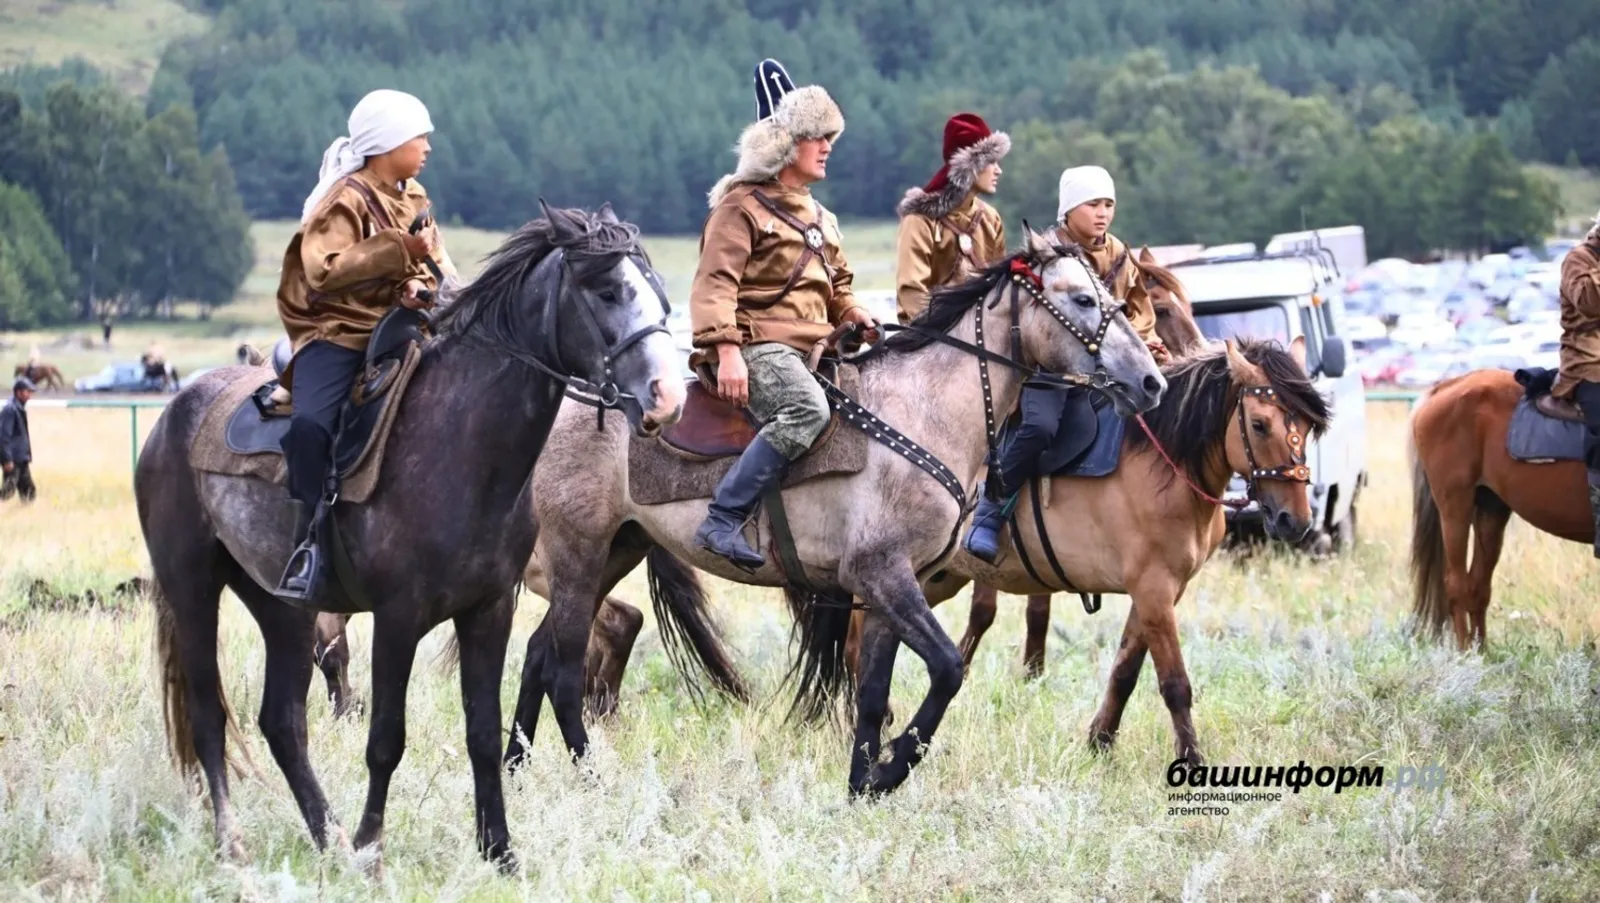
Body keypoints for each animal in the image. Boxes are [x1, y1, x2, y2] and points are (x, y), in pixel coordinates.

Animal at [134, 203, 686, 873]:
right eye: (607, 290)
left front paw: (499, 851)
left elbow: (482, 731)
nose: (668, 396)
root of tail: (172, 412)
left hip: (281, 607)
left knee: (283, 720)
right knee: (209, 714)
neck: (463, 445)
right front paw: (372, 848)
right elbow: (386, 741)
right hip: (191, 586)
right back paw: (235, 843)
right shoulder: (397, 618)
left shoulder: (488, 611)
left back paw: (327, 840)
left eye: (657, 293)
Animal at [509, 229, 1168, 797]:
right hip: (578, 555)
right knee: (562, 667)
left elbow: (873, 693)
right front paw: (892, 769)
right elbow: (947, 669)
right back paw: (589, 775)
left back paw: (516, 767)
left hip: (613, 553)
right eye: (1083, 298)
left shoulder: (887, 590)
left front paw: (860, 786)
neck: (923, 408)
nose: (1151, 381)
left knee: (540, 653)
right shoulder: (884, 575)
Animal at [1408, 368, 1592, 651]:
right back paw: (1466, 656)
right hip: (1455, 509)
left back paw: (1481, 652)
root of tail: (1446, 386)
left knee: (1478, 585)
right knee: (1457, 585)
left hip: (1491, 509)